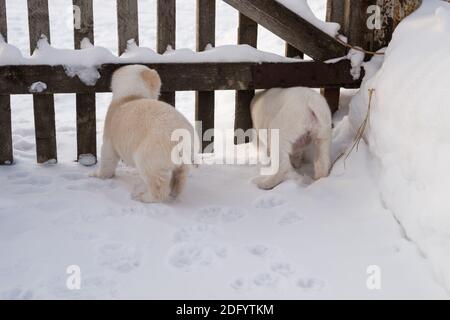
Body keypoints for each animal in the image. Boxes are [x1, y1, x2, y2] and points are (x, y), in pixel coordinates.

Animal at [91, 64, 197, 202]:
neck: (132, 95)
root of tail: (181, 137)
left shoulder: (110, 128)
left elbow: (108, 155)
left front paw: (97, 174)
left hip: (152, 149)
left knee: (154, 178)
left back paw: (143, 196)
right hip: (186, 154)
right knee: (181, 173)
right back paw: (175, 192)